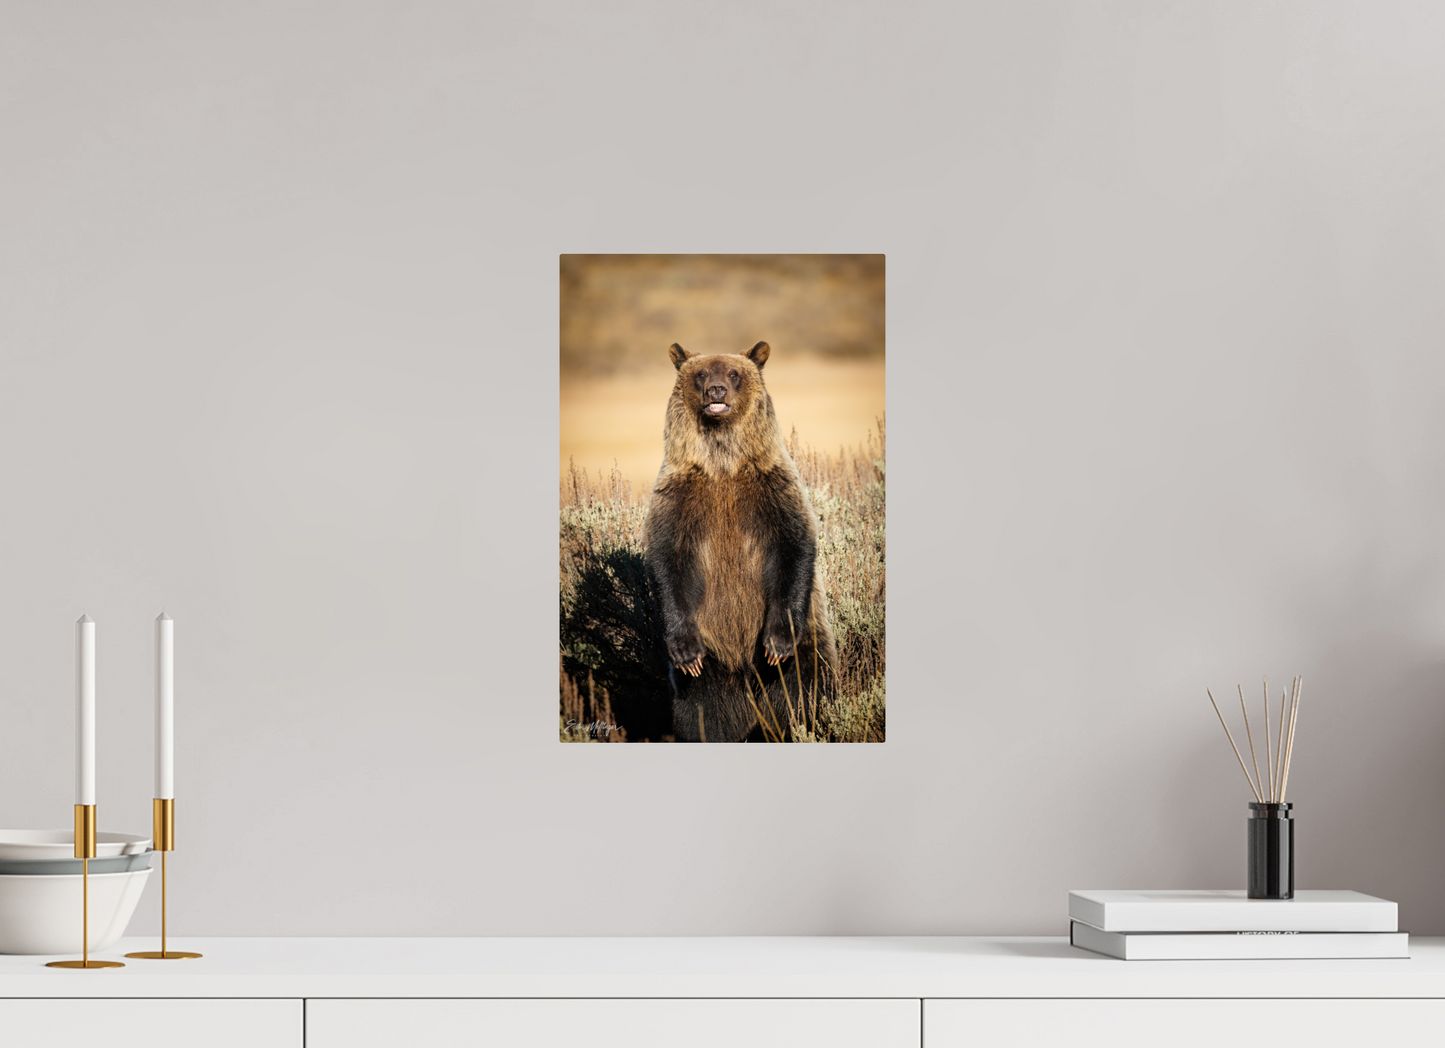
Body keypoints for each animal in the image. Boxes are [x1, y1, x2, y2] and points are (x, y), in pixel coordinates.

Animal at [643, 340, 839, 742]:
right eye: (701, 373)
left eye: (734, 373)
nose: (716, 391)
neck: (723, 462)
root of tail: (745, 678)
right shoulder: (680, 496)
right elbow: (668, 560)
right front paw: (685, 652)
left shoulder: (771, 487)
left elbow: (794, 544)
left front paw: (777, 643)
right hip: (713, 666)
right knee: (702, 712)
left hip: (808, 646)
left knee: (803, 692)